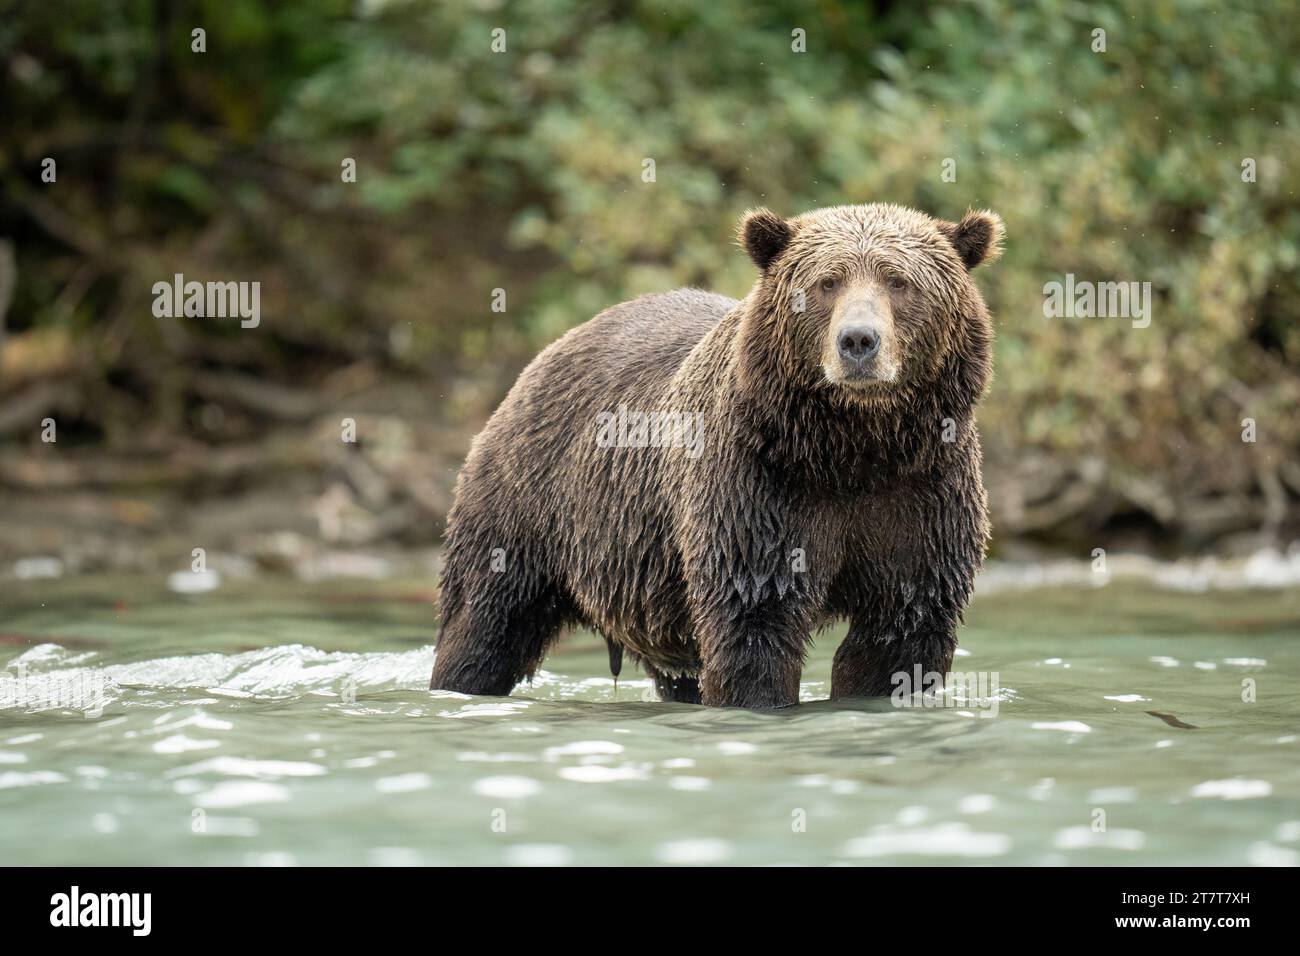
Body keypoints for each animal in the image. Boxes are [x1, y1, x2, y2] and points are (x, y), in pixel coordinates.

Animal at [429, 202, 1002, 708]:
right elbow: (754, 622)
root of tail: (546, 354)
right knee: (486, 620)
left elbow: (899, 631)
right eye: (827, 282)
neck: (853, 447)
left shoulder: (922, 491)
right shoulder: (759, 486)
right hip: (527, 503)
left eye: (899, 281)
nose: (858, 341)